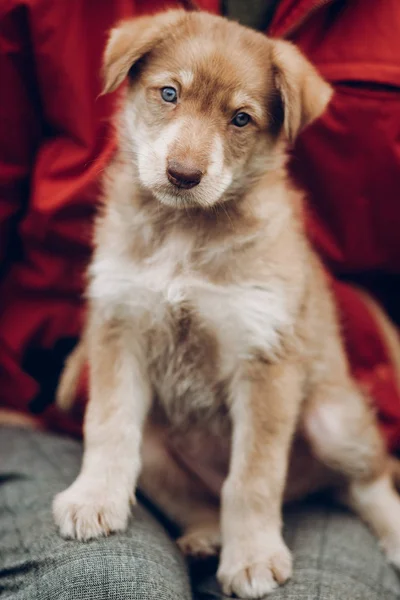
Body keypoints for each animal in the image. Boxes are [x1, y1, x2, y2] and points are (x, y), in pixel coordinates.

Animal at [53, 10, 400, 600]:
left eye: (241, 118)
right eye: (169, 92)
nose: (183, 174)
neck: (184, 233)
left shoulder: (264, 358)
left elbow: (252, 478)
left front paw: (254, 556)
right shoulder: (120, 324)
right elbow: (108, 425)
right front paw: (93, 499)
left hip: (333, 420)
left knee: (368, 481)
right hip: (158, 443)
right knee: (194, 496)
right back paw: (204, 534)